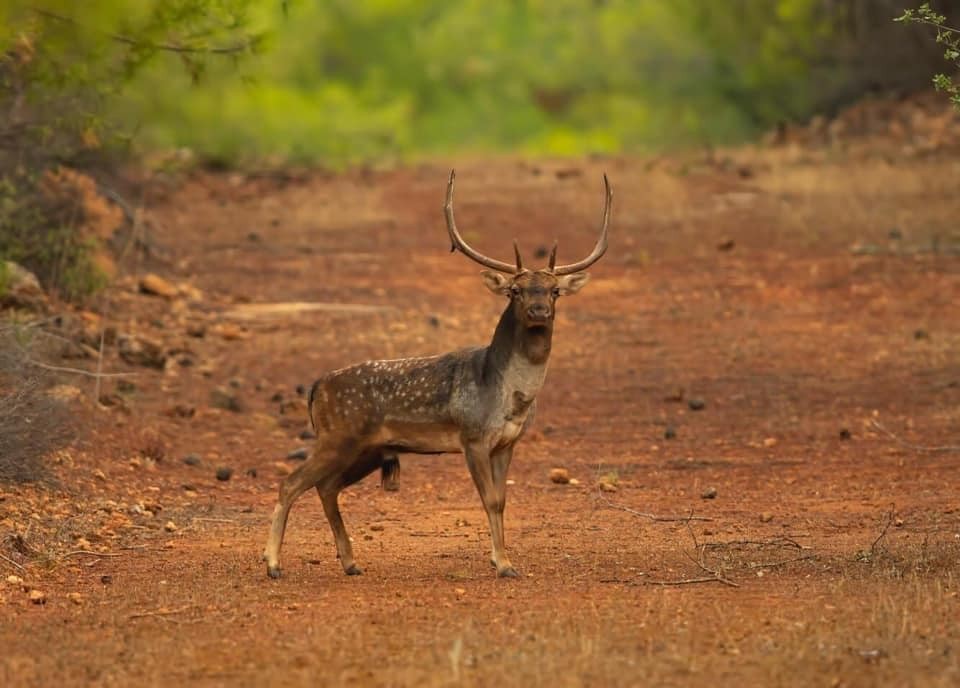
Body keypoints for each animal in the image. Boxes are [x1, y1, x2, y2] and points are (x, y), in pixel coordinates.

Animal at [262, 169, 612, 576]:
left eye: (554, 291)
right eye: (515, 290)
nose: (538, 311)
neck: (511, 397)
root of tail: (317, 386)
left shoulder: (508, 443)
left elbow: (503, 500)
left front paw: (501, 559)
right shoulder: (472, 437)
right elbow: (490, 500)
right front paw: (503, 564)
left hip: (366, 448)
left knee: (326, 486)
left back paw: (350, 562)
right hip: (338, 436)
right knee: (291, 483)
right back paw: (272, 563)